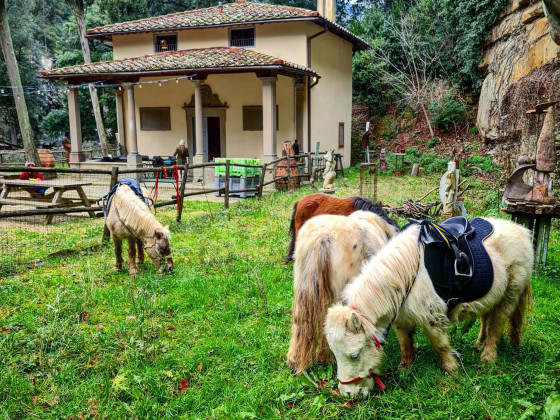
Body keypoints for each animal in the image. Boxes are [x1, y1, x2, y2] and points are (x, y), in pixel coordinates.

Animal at [324, 218, 532, 396]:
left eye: (354, 355)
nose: (349, 394)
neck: (404, 275)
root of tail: (522, 231)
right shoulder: (401, 320)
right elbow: (405, 344)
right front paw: (405, 369)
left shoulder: (433, 319)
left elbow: (440, 346)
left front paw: (451, 371)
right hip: (490, 297)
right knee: (485, 319)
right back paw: (478, 343)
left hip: (509, 294)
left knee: (496, 325)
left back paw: (487, 357)